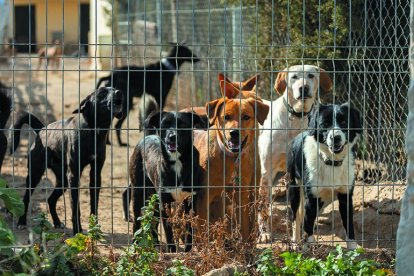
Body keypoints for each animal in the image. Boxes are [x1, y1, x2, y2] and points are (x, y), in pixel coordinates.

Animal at [11, 87, 123, 234]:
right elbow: (75, 208)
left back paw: (57, 222)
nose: (119, 92)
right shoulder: (73, 176)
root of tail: (42, 130)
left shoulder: (95, 175)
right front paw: (77, 232)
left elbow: (94, 205)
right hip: (35, 174)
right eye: (102, 93)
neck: (94, 131)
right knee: (26, 199)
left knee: (51, 200)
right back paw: (21, 222)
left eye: (114, 89)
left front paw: (93, 228)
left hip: (63, 180)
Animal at [124, 110, 205, 252]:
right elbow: (168, 231)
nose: (172, 137)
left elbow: (189, 229)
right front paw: (172, 251)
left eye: (182, 124)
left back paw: (156, 244)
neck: (177, 162)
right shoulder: (165, 202)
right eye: (165, 124)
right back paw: (135, 245)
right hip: (138, 193)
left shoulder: (190, 201)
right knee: (137, 222)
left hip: (154, 198)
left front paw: (188, 251)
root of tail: (147, 137)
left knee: (154, 221)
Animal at [193, 78, 270, 240]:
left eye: (246, 117)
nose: (234, 132)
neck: (230, 159)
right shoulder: (204, 198)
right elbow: (203, 231)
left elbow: (245, 227)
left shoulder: (242, 196)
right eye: (226, 117)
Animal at [288, 103, 362, 250]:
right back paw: (295, 242)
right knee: (295, 218)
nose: (336, 138)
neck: (331, 162)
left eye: (344, 122)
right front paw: (309, 247)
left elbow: (349, 224)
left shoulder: (345, 196)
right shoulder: (311, 199)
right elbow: (307, 225)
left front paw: (352, 248)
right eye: (325, 124)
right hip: (295, 189)